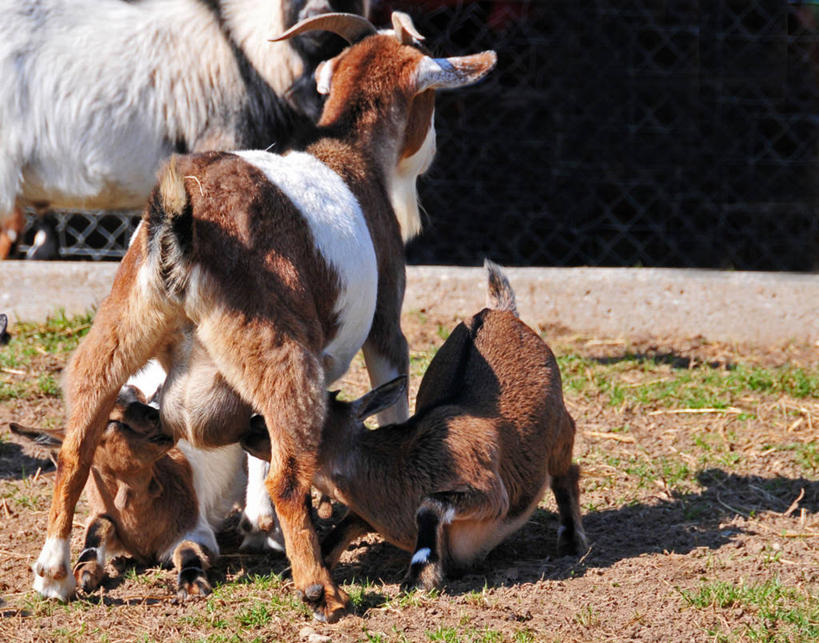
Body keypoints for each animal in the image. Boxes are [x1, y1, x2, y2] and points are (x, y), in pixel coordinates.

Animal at [9, 382, 245, 600]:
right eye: (111, 421)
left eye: (142, 400)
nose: (163, 419)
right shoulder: (102, 513)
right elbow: (98, 528)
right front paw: (85, 571)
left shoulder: (196, 528)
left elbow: (187, 549)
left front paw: (192, 583)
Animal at [243, 260, 588, 588]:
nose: (250, 429)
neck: (401, 467)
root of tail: (498, 311)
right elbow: (347, 524)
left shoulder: (490, 492)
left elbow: (430, 503)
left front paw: (421, 572)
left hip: (560, 429)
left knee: (566, 472)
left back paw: (572, 540)